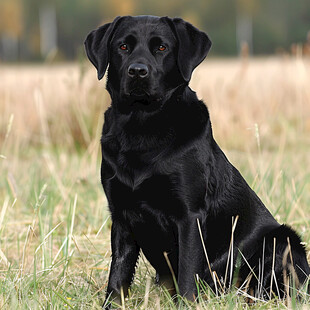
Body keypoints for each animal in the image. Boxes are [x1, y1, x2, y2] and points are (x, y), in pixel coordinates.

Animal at [83, 15, 308, 306]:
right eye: (123, 47)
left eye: (162, 48)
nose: (137, 71)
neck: (142, 127)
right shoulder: (121, 215)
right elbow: (118, 274)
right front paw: (110, 305)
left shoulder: (189, 215)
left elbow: (188, 273)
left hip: (283, 238)